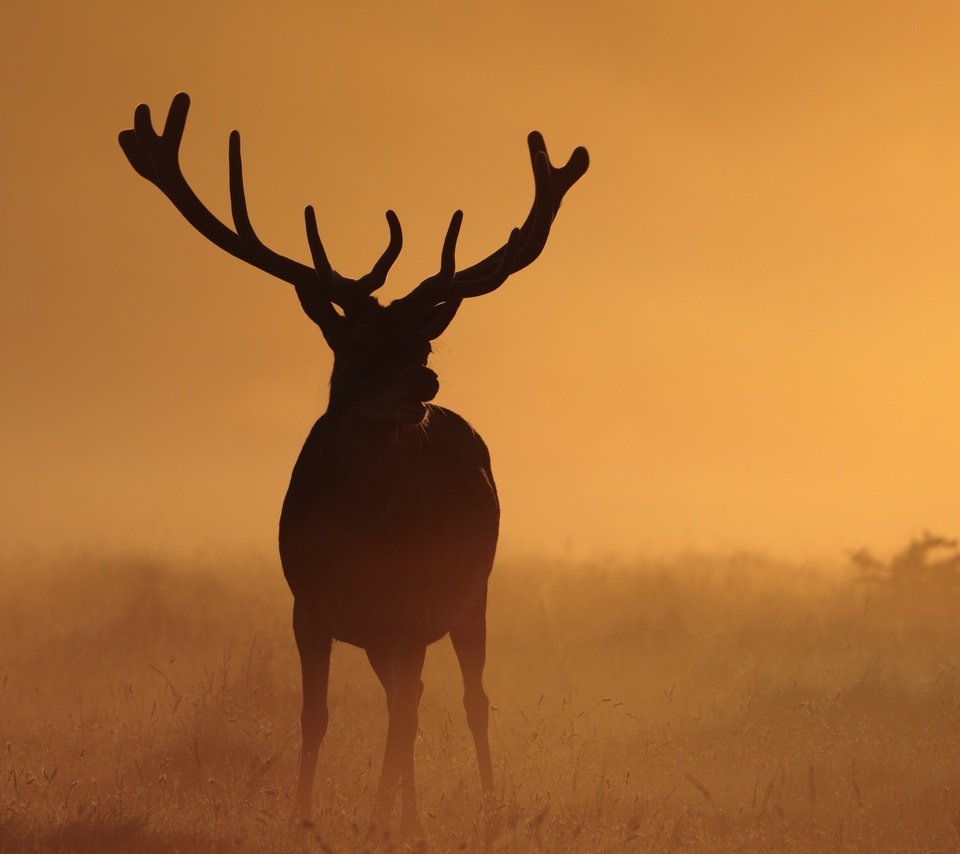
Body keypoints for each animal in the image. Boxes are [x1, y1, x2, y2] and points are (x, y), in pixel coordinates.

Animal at [117, 95, 588, 836]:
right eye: (358, 339)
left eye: (424, 340)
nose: (424, 381)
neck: (360, 532)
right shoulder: (309, 607)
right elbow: (315, 715)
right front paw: (305, 818)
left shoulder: (410, 609)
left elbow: (407, 718)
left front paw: (379, 820)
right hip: (380, 634)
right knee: (410, 698)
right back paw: (409, 811)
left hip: (470, 595)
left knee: (464, 699)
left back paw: (467, 807)